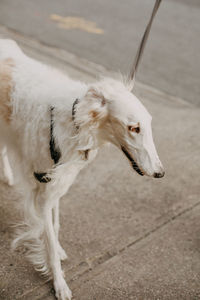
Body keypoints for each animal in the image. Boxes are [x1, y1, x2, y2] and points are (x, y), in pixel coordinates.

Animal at [0, 38, 164, 300]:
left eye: (148, 124)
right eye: (133, 128)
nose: (160, 173)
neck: (74, 121)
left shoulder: (57, 180)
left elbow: (54, 225)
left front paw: (58, 249)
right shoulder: (43, 183)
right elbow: (47, 237)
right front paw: (59, 283)